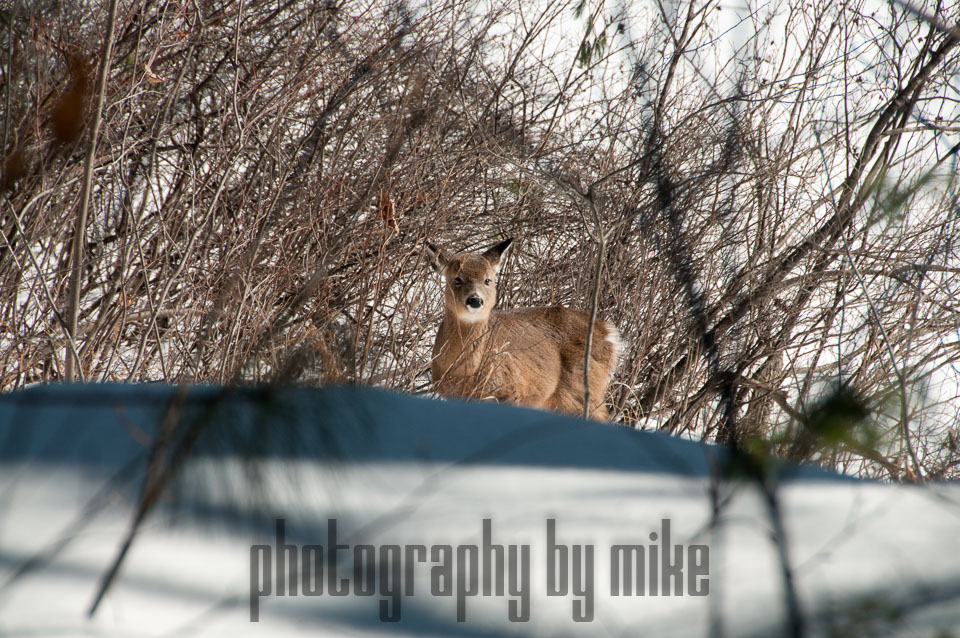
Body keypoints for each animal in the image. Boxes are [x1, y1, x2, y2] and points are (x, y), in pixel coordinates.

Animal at [426, 238, 624, 422]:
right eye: (457, 279)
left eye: (488, 280)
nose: (475, 300)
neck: (463, 373)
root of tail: (609, 333)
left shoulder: (511, 388)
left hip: (580, 390)